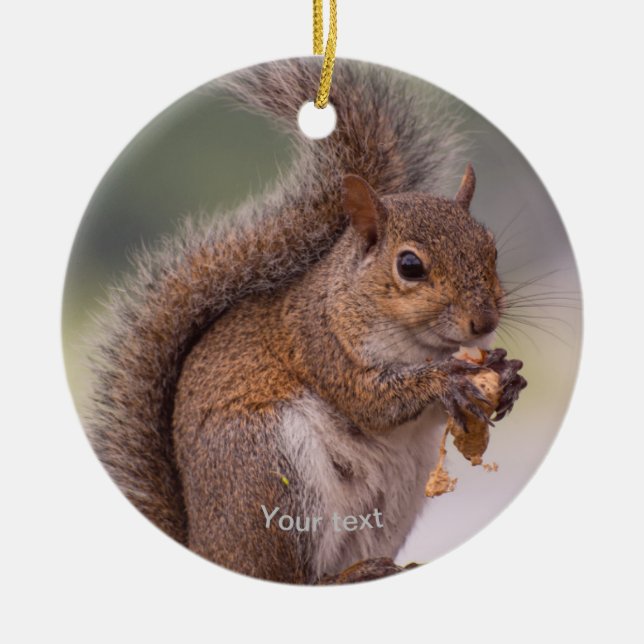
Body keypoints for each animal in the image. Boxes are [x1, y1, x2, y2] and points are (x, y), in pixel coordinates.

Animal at [87, 58, 525, 585]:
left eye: (491, 249)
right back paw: (349, 575)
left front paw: (506, 373)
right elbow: (372, 401)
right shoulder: (320, 344)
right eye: (410, 266)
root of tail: (205, 549)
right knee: (290, 576)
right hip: (272, 470)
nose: (483, 321)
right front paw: (446, 380)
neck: (414, 344)